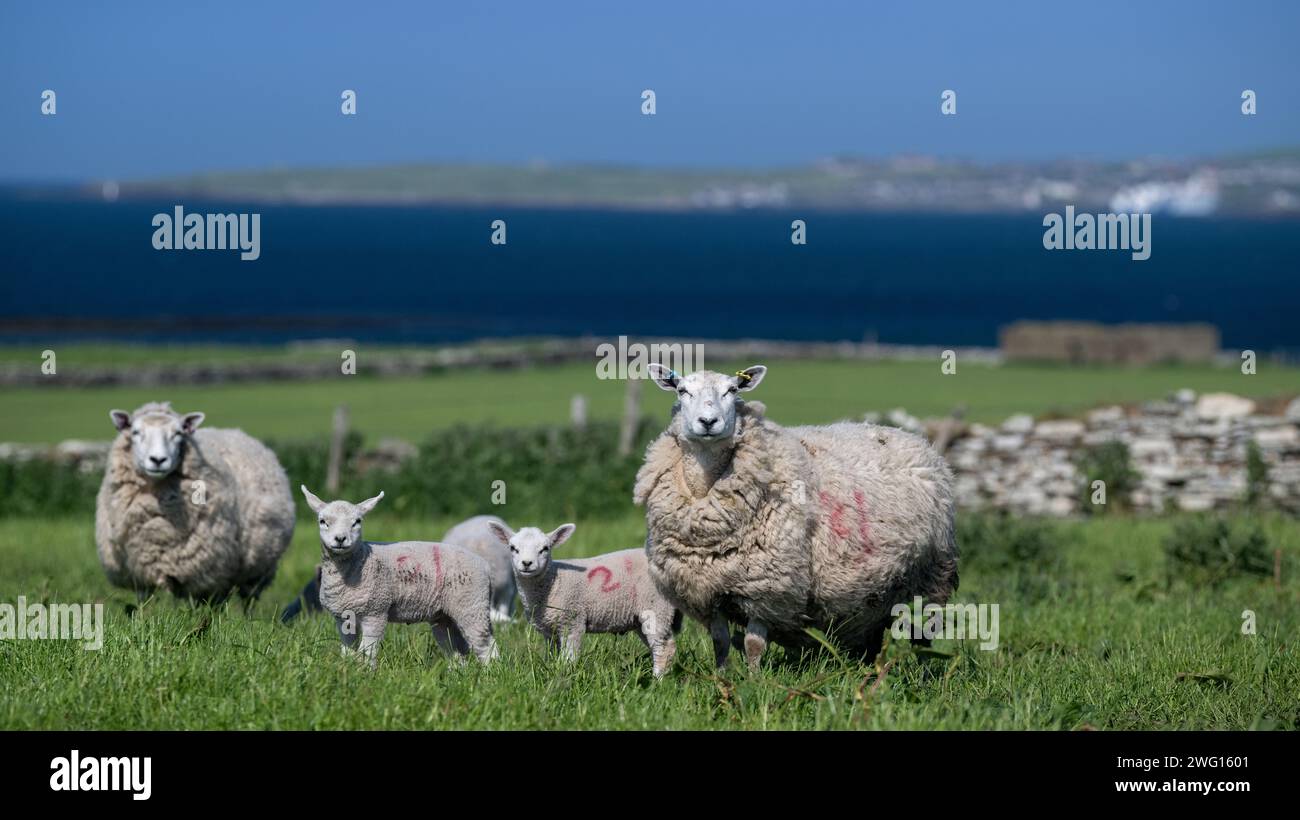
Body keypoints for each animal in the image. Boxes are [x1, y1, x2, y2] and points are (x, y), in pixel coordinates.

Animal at [94, 402, 296, 602]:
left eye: (178, 433)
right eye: (135, 432)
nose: (158, 460)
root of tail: (237, 432)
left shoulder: (191, 572)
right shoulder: (141, 572)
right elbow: (145, 602)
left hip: (254, 570)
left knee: (247, 600)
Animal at [301, 488, 499, 665]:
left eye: (357, 521)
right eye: (322, 521)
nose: (340, 539)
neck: (359, 562)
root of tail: (484, 565)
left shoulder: (376, 611)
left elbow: (367, 652)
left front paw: (364, 673)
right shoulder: (343, 618)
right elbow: (348, 650)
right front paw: (347, 669)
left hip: (472, 604)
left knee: (486, 645)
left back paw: (492, 673)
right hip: (444, 615)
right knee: (457, 650)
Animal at [488, 525, 686, 680]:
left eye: (545, 548)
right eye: (513, 548)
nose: (526, 563)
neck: (553, 580)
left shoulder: (572, 621)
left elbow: (569, 658)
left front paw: (566, 676)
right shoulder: (550, 630)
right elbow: (552, 655)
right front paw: (551, 671)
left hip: (657, 607)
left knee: (664, 647)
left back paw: (658, 681)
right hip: (642, 618)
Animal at [634, 366, 961, 675]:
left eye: (732, 389)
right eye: (682, 390)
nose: (708, 422)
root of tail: (918, 441)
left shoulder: (767, 589)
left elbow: (753, 644)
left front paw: (753, 681)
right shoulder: (708, 590)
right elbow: (720, 641)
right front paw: (722, 676)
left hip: (930, 578)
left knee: (922, 638)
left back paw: (919, 673)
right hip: (877, 596)